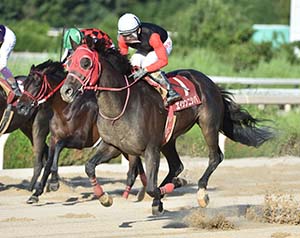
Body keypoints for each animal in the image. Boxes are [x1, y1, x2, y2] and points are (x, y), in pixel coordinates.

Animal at [17, 60, 147, 204]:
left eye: (37, 84)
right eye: (24, 84)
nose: (20, 107)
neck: (66, 110)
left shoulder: (81, 140)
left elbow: (59, 147)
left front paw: (54, 183)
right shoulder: (54, 138)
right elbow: (48, 162)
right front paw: (36, 194)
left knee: (133, 170)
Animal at [60, 41, 274, 215]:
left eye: (85, 62)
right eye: (68, 63)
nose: (66, 91)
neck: (120, 105)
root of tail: (209, 81)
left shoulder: (150, 149)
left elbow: (151, 187)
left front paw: (177, 185)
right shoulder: (113, 146)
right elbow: (89, 166)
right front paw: (105, 198)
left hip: (208, 124)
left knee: (216, 157)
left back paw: (200, 193)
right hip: (169, 139)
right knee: (177, 165)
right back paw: (163, 196)